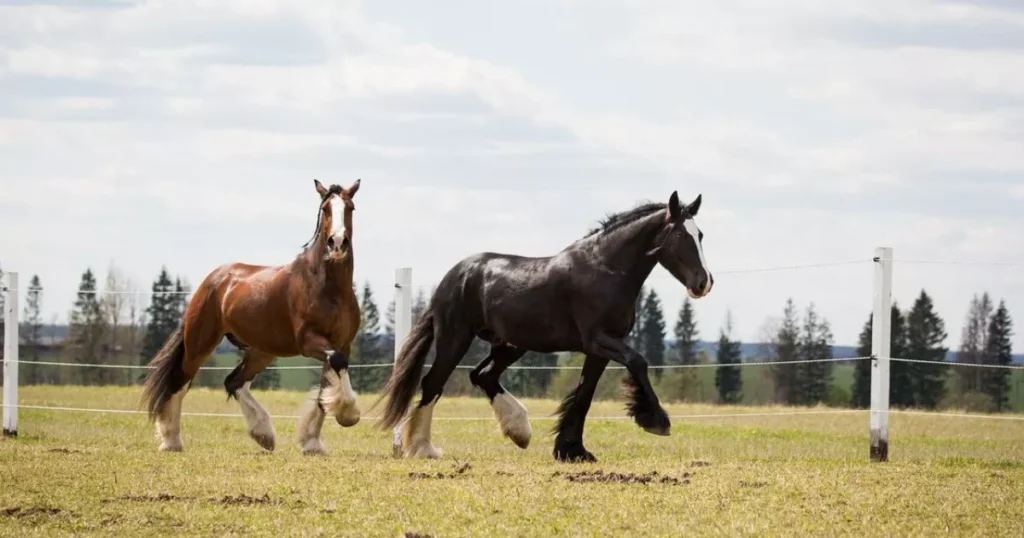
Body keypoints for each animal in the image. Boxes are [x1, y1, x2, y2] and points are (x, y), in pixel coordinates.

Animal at [140, 179, 364, 452]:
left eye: (351, 207)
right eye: (325, 209)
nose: (337, 243)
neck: (328, 287)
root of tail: (212, 280)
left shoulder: (342, 343)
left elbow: (326, 387)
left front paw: (312, 442)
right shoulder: (310, 342)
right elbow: (338, 365)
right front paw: (348, 415)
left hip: (261, 351)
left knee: (233, 382)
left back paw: (263, 434)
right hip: (199, 344)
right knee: (179, 383)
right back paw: (171, 441)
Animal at [372, 191, 716, 461]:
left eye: (701, 235)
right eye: (681, 236)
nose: (704, 283)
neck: (606, 270)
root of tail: (452, 276)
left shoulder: (599, 349)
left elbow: (585, 394)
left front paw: (572, 450)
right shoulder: (599, 340)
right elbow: (638, 362)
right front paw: (656, 420)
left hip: (509, 344)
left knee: (482, 375)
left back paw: (519, 431)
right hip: (456, 337)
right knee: (433, 383)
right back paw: (423, 448)